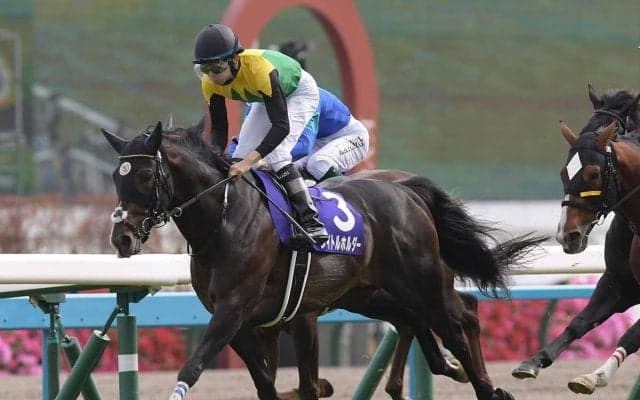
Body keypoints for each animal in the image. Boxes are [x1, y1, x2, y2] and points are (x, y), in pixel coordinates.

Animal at [103, 122, 542, 400]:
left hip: (425, 280)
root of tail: (407, 191)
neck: (224, 218)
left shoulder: (241, 310)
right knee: (415, 319)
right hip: (368, 294)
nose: (122, 237)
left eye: (144, 175)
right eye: (114, 176)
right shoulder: (245, 321)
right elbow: (267, 384)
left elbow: (193, 369)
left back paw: (486, 386)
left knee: (459, 320)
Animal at [512, 85, 640, 394]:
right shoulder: (619, 282)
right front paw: (533, 361)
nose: (567, 234)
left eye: (594, 173)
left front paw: (594, 375)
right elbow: (579, 322)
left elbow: (631, 335)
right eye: (564, 170)